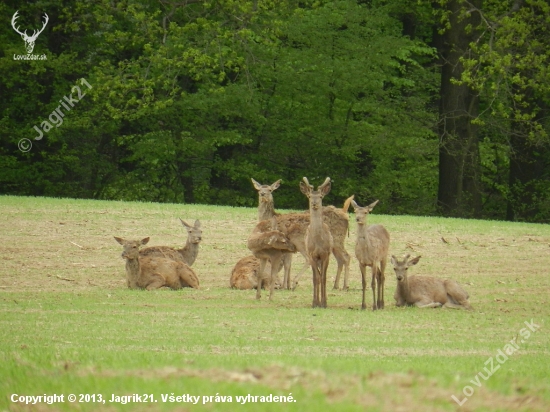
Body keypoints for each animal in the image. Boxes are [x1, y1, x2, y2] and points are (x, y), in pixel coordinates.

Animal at [300, 175, 334, 308]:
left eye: (320, 196)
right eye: (309, 196)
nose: (314, 203)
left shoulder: (325, 255)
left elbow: (323, 278)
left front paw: (324, 303)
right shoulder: (311, 255)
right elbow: (315, 279)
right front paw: (315, 303)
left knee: (321, 276)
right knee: (317, 276)